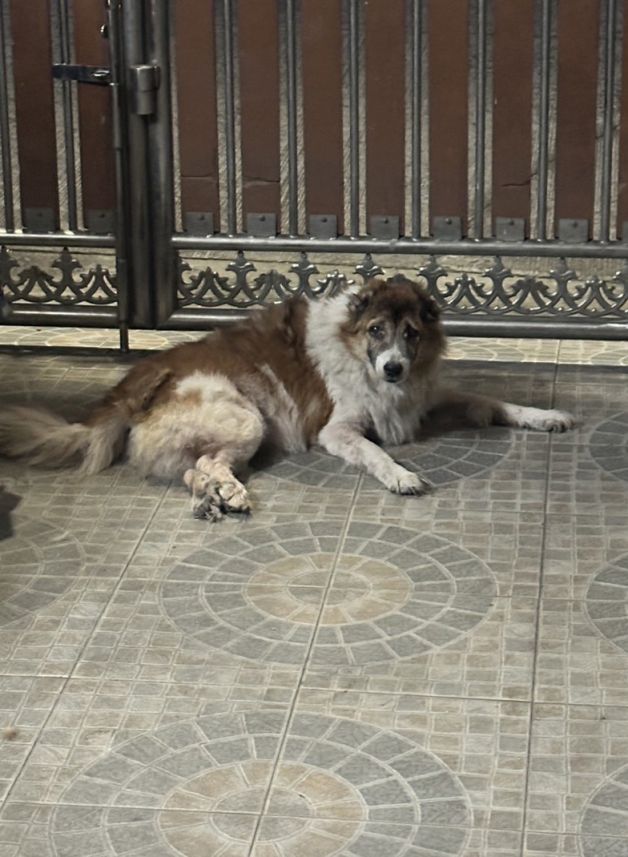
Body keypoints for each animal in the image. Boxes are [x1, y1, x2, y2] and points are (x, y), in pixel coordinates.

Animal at [0, 276, 574, 520]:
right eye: (376, 330)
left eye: (411, 334)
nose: (392, 368)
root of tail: (137, 381)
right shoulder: (338, 429)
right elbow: (375, 452)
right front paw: (401, 476)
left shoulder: (421, 397)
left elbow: (491, 401)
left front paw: (544, 415)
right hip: (245, 418)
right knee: (206, 464)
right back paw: (227, 495)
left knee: (194, 471)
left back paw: (214, 500)